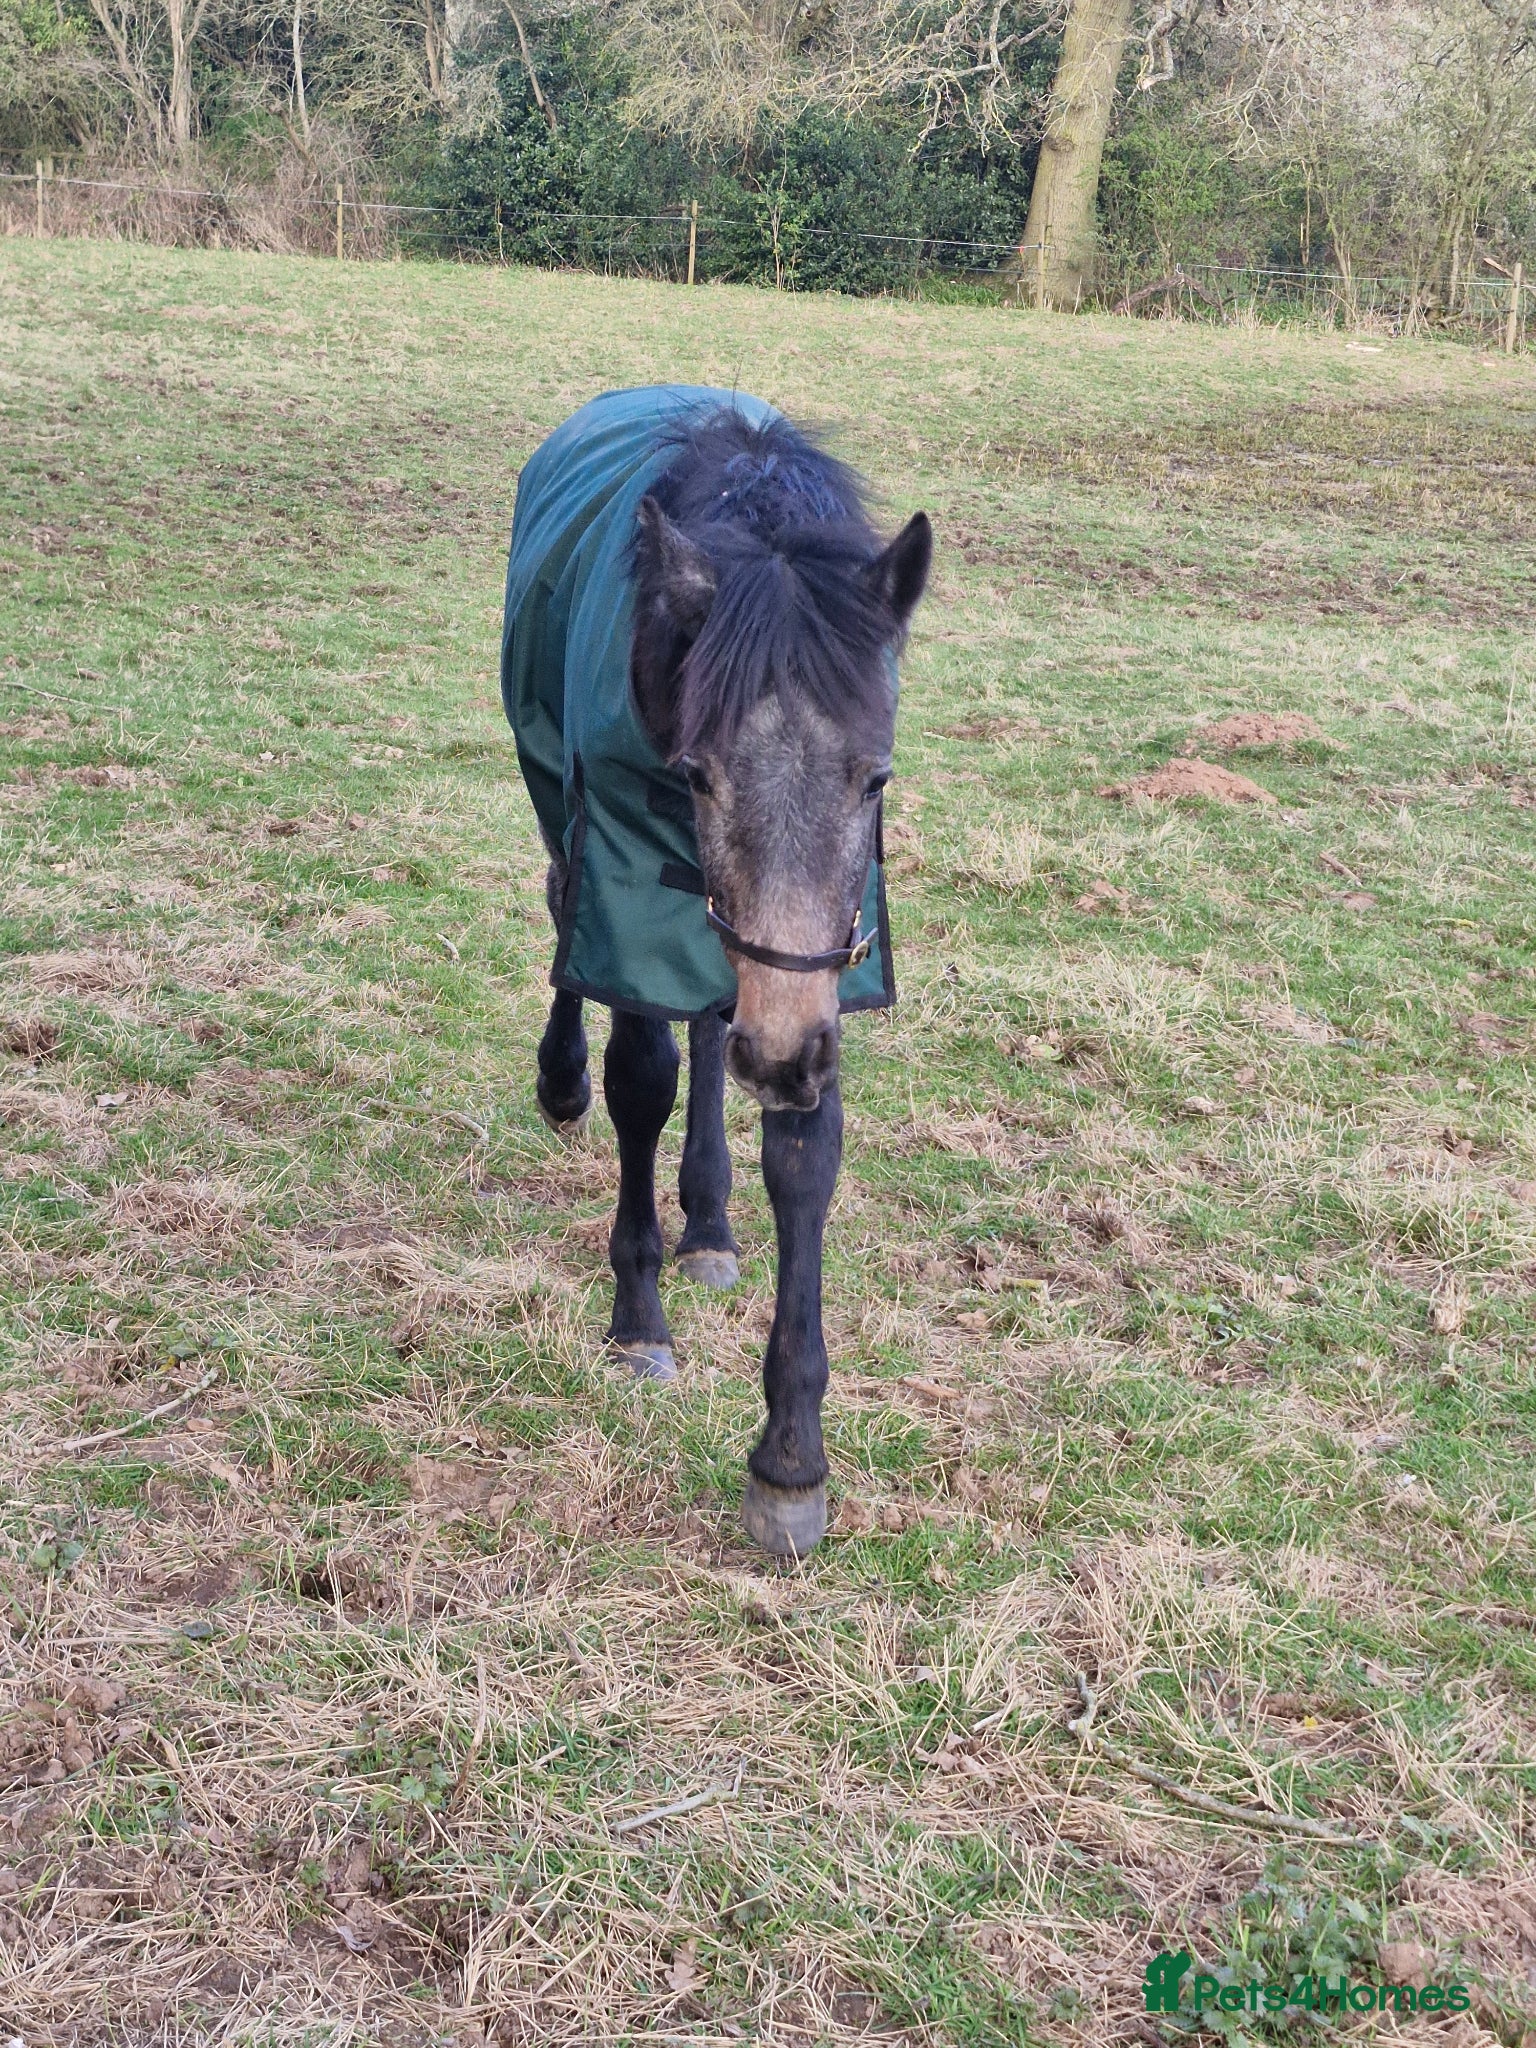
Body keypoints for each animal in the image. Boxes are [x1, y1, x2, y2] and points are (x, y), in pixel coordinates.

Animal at [502, 386, 931, 1557]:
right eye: (697, 772)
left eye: (875, 777)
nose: (776, 1054)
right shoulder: (627, 871)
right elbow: (641, 1078)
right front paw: (638, 1319)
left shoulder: (819, 976)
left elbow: (806, 1156)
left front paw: (789, 1462)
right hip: (557, 790)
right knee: (565, 916)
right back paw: (562, 1083)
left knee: (708, 1019)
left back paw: (709, 1219)